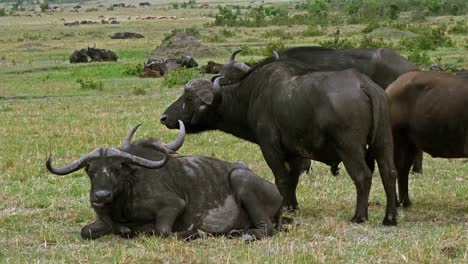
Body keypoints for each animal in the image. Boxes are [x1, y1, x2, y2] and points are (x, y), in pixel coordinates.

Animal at [386, 71, 468, 207]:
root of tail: (392, 86)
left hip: (411, 144)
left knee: (404, 169)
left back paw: (406, 202)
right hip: (397, 139)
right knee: (396, 169)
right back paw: (397, 202)